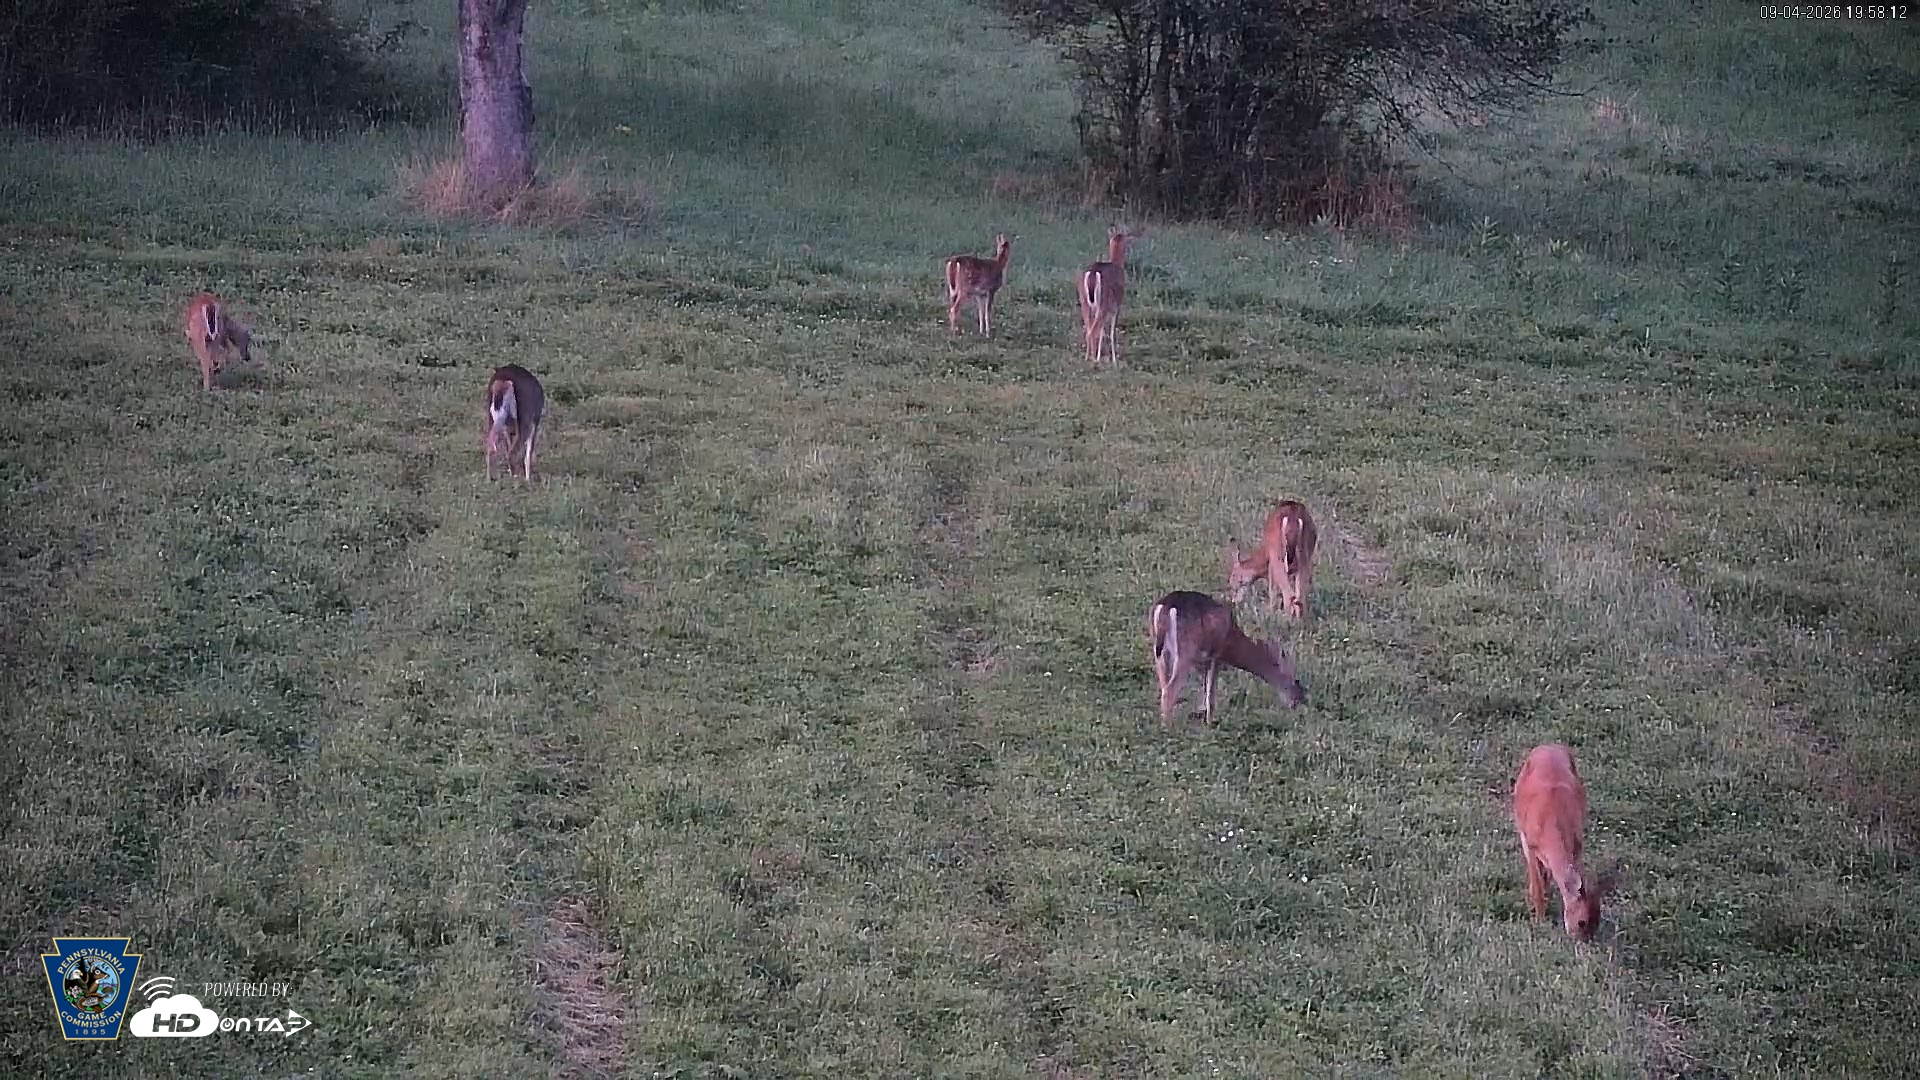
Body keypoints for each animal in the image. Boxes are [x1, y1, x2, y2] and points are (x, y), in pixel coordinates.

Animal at [1079, 225, 1133, 367]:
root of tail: (1093, 273)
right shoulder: (1117, 305)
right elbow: (1112, 332)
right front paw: (1113, 359)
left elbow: (1103, 331)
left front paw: (1100, 356)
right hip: (1103, 302)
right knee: (1093, 331)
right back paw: (1093, 360)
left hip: (1085, 302)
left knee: (1088, 329)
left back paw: (1087, 357)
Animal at [1147, 590, 1305, 730]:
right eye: (1296, 684)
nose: (1298, 703)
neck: (1232, 641)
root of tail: (1166, 606)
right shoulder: (1217, 656)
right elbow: (1210, 693)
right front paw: (1209, 723)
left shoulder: (1206, 660)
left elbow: (1206, 689)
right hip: (1185, 651)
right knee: (1170, 690)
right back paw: (1171, 729)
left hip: (1160, 651)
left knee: (1164, 686)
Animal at [1513, 743, 1617, 942]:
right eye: (1582, 922)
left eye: (1598, 920)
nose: (1584, 942)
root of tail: (1547, 745)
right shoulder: (1530, 844)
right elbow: (1537, 885)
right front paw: (1539, 919)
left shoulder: (1577, 844)